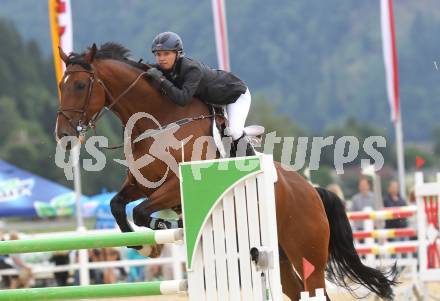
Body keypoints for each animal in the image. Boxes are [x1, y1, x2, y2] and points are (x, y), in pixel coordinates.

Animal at [54, 42, 396, 300]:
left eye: (81, 85)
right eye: (61, 85)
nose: (64, 135)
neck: (159, 122)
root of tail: (312, 192)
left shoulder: (174, 187)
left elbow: (139, 212)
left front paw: (160, 232)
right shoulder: (141, 184)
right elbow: (117, 205)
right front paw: (145, 245)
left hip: (306, 251)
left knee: (315, 291)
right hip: (279, 255)